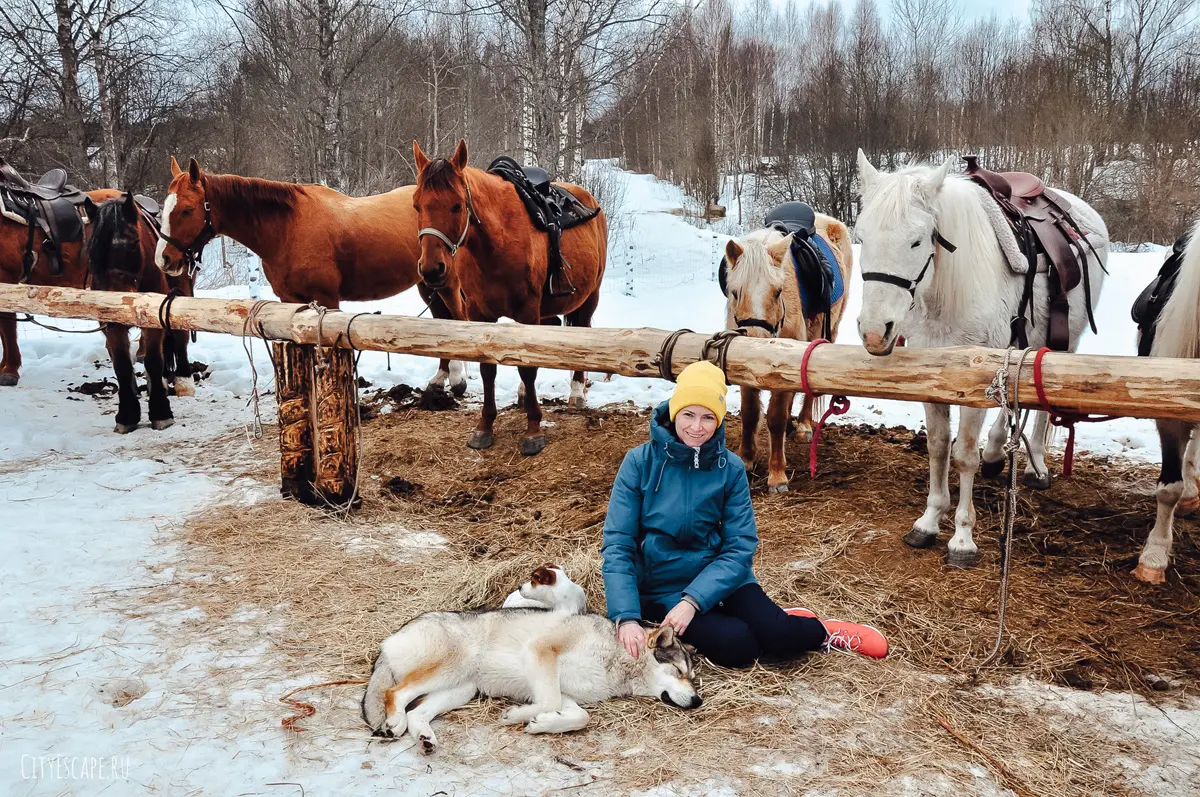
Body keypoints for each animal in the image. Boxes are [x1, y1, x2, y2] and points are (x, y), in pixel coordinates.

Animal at [158, 156, 472, 396]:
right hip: (426, 282)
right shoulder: (290, 303)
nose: (164, 259)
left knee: (458, 317)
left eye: (187, 210)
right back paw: (439, 379)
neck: (289, 228)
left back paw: (458, 378)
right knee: (440, 320)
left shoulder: (328, 301)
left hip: (446, 281)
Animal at [415, 139, 609, 458]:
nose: (432, 269)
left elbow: (528, 368)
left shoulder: (527, 311)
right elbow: (488, 369)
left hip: (588, 298)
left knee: (582, 330)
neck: (496, 242)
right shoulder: (480, 314)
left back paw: (577, 392)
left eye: (457, 205)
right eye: (416, 204)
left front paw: (533, 430)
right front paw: (484, 427)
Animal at [720, 218, 854, 492]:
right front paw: (746, 459)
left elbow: (775, 418)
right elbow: (750, 412)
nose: (758, 345)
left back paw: (802, 425)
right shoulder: (740, 361)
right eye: (735, 292)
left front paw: (777, 474)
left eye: (778, 291)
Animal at [854, 152, 1104, 568]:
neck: (944, 294)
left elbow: (965, 455)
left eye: (916, 241)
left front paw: (962, 537)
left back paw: (1036, 463)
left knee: (1041, 410)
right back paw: (997, 450)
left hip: (1064, 343)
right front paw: (928, 521)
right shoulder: (932, 381)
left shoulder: (971, 382)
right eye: (861, 237)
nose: (875, 332)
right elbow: (939, 447)